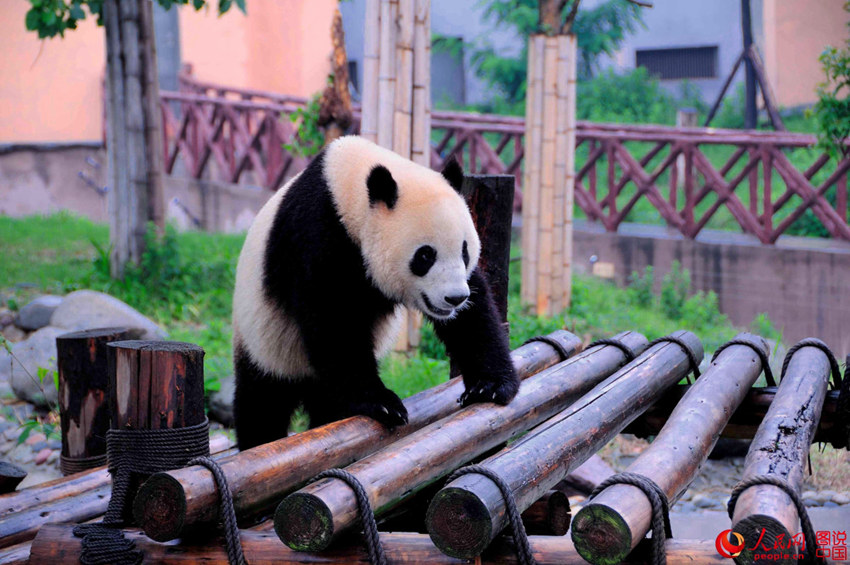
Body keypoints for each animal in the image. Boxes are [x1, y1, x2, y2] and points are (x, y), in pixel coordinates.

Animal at [230, 134, 516, 448]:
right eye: (425, 255)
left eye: (464, 252)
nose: (454, 298)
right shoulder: (316, 235)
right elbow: (333, 321)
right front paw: (382, 403)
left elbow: (473, 315)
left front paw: (489, 386)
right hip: (266, 339)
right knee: (262, 402)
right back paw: (261, 438)